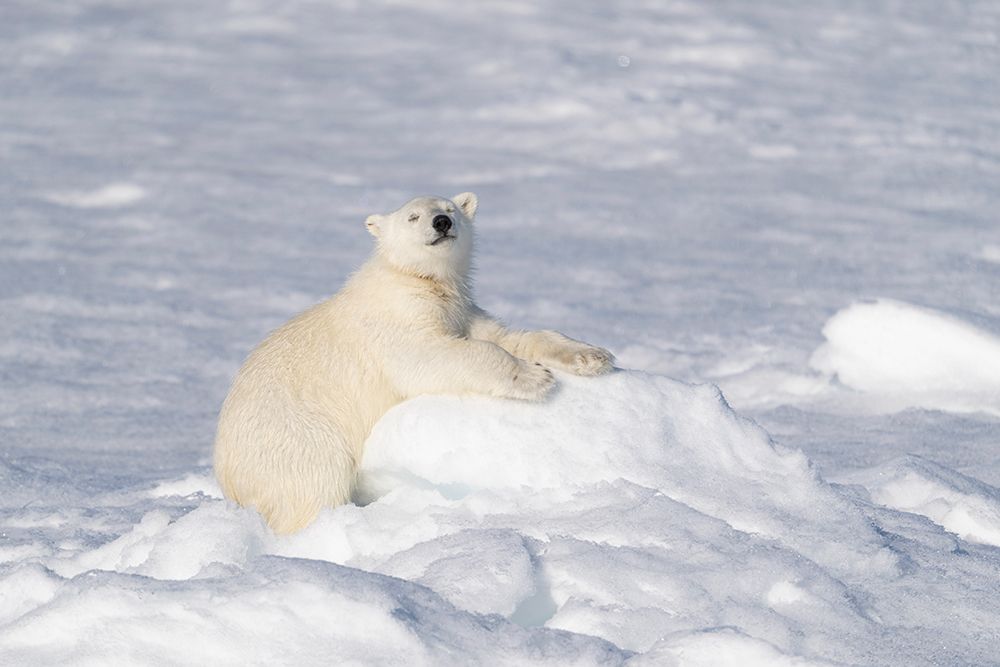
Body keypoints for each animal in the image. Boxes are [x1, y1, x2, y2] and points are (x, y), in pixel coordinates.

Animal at [213, 192, 614, 533]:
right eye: (413, 216)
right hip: (296, 437)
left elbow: (507, 336)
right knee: (313, 483)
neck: (418, 281)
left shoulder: (461, 311)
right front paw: (535, 378)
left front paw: (592, 356)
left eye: (450, 208)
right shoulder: (394, 322)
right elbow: (432, 356)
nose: (441, 222)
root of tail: (227, 477)